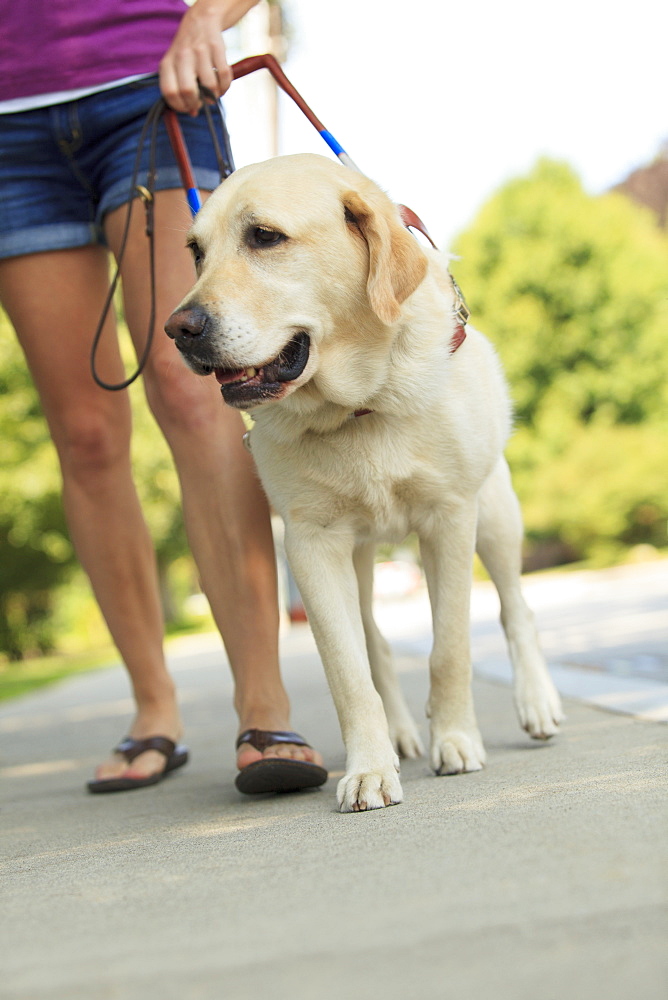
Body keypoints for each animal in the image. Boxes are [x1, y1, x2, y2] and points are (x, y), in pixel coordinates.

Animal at [164, 156, 560, 812]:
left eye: (264, 237)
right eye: (195, 251)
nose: (177, 327)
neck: (357, 407)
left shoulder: (450, 518)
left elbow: (450, 647)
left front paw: (456, 740)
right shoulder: (311, 544)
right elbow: (350, 672)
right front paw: (371, 769)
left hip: (496, 513)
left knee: (517, 608)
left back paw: (536, 702)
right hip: (361, 557)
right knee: (375, 640)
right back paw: (397, 734)